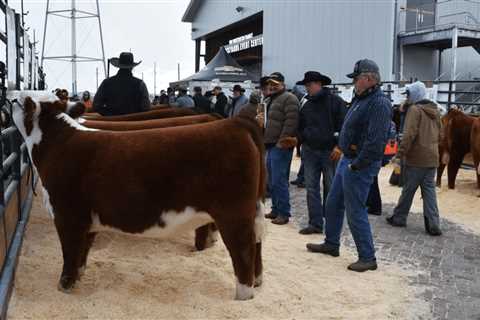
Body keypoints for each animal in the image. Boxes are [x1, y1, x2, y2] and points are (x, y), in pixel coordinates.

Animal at [12, 95, 266, 300]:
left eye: (20, 101)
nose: (10, 96)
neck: (58, 144)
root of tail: (236, 123)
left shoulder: (67, 214)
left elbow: (69, 251)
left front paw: (64, 285)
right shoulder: (87, 218)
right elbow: (82, 252)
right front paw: (79, 277)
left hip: (233, 215)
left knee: (243, 251)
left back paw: (243, 296)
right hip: (254, 210)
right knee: (257, 243)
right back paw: (257, 282)